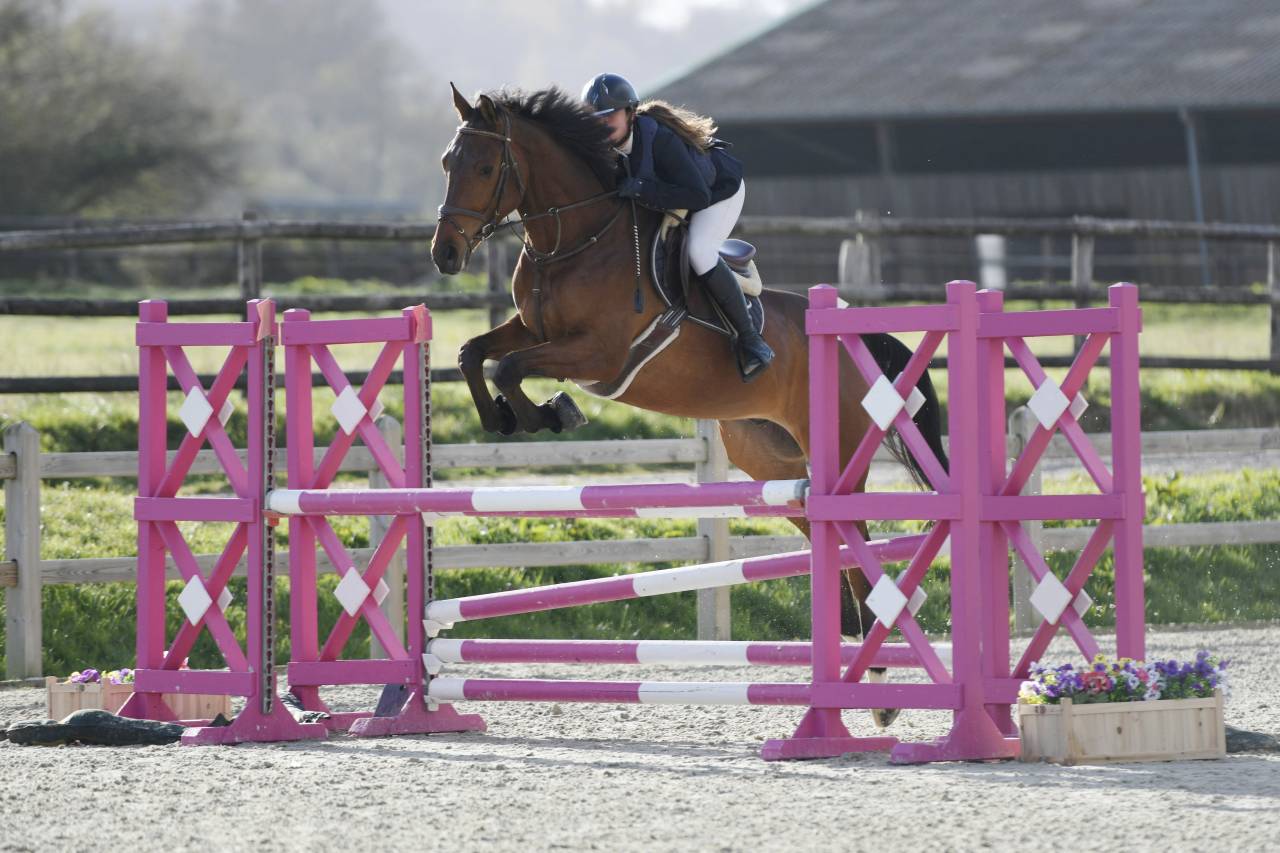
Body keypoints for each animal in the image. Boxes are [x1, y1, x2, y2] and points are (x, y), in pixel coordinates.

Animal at [431, 86, 948, 727]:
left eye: (483, 168)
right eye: (447, 162)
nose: (445, 255)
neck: (573, 239)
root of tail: (860, 336)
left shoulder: (598, 352)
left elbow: (508, 368)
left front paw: (550, 413)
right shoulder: (531, 329)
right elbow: (473, 353)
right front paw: (504, 417)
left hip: (838, 447)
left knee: (854, 531)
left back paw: (876, 679)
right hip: (766, 454)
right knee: (816, 523)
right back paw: (852, 640)